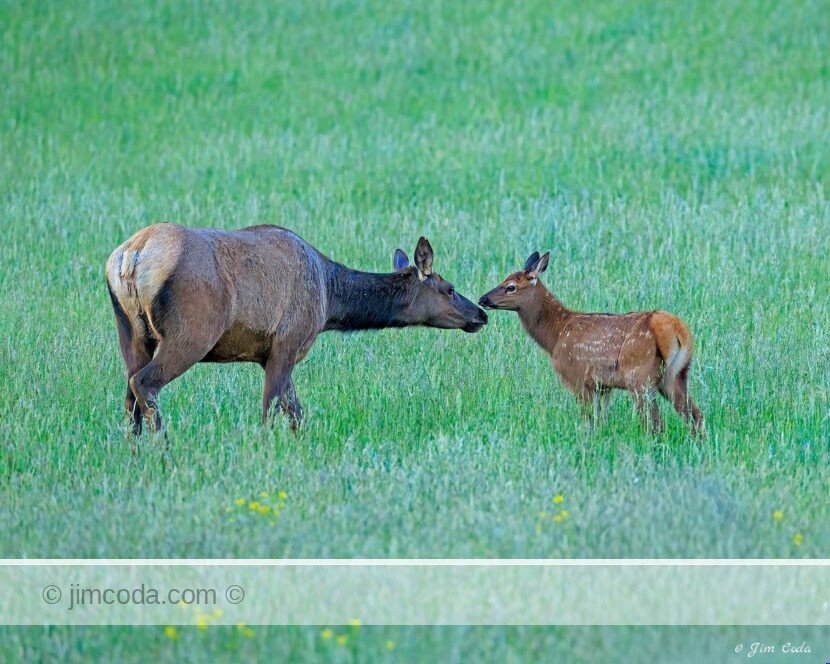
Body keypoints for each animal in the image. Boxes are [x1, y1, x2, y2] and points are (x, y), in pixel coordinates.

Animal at [106, 223, 488, 435]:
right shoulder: (287, 342)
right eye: (450, 288)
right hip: (193, 331)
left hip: (131, 333)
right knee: (144, 383)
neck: (330, 300)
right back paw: (165, 449)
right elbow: (272, 411)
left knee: (128, 394)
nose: (481, 313)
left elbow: (297, 414)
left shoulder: (269, 354)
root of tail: (132, 255)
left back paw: (133, 451)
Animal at [478, 251, 704, 434]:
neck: (555, 335)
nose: (482, 300)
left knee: (656, 424)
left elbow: (589, 421)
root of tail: (673, 327)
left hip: (640, 376)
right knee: (695, 415)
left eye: (510, 287)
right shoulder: (603, 386)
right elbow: (601, 420)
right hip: (676, 375)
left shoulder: (578, 376)